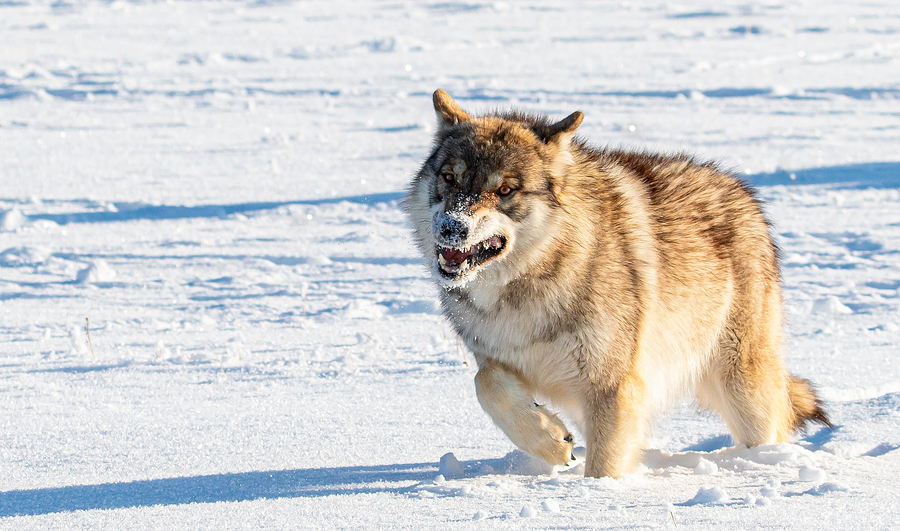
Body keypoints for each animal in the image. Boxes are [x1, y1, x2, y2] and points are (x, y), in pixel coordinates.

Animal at [404, 89, 832, 480]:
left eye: (505, 190)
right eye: (449, 178)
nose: (452, 227)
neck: (526, 286)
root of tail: (745, 195)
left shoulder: (612, 386)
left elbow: (604, 465)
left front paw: (598, 495)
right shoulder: (500, 360)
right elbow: (485, 384)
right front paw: (553, 441)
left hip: (743, 389)